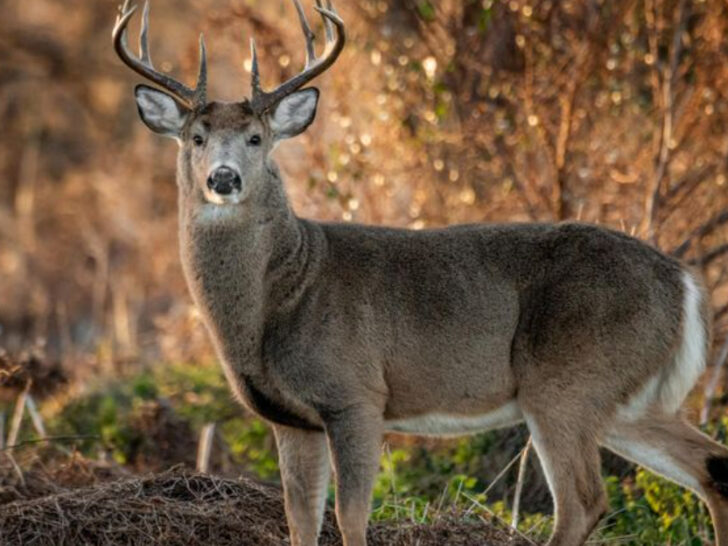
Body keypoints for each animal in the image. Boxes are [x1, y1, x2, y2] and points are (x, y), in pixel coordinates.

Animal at [112, 1, 728, 545]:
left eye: (256, 138)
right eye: (195, 137)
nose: (223, 178)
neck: (283, 295)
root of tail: (683, 281)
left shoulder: (357, 394)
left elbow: (351, 519)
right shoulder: (291, 418)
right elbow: (300, 524)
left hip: (567, 381)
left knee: (584, 503)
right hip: (628, 396)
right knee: (711, 468)